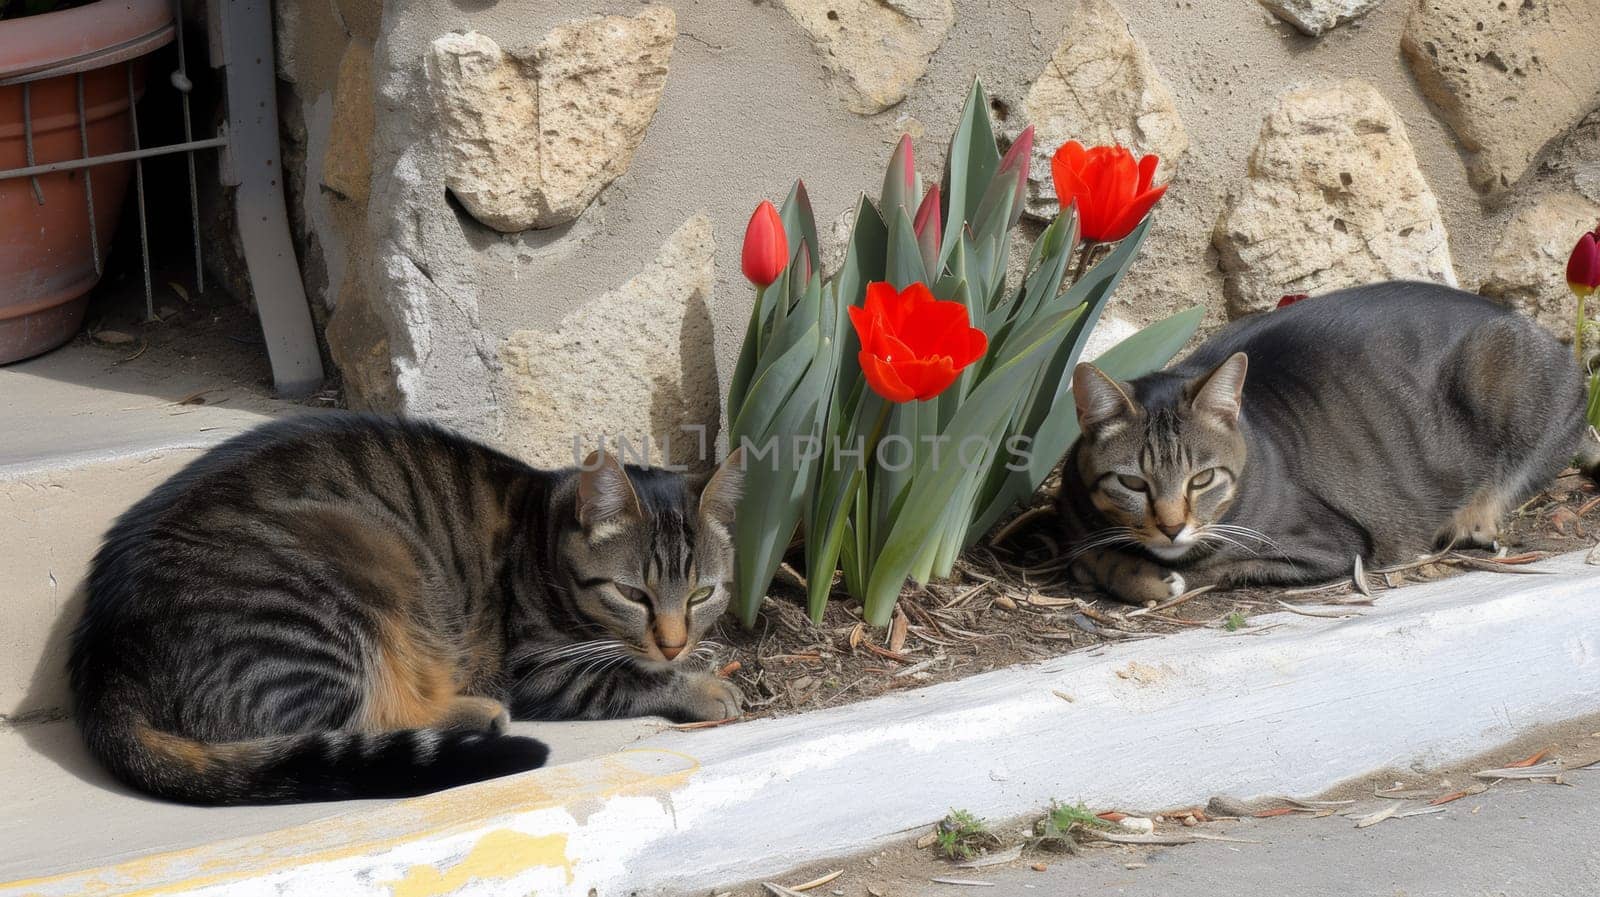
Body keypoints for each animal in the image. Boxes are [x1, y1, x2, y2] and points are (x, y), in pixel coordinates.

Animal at [72, 415, 745, 805]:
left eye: (701, 594)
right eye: (633, 595)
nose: (674, 641)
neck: (545, 535)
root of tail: (101, 661)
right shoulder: (539, 669)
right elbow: (628, 678)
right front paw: (704, 686)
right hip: (343, 578)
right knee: (346, 720)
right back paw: (475, 712)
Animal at [1056, 279, 1593, 601]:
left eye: (1201, 479)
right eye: (1133, 483)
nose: (1170, 527)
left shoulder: (1332, 545)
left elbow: (1218, 564)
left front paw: (1148, 576)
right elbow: (1084, 553)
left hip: (1507, 373)